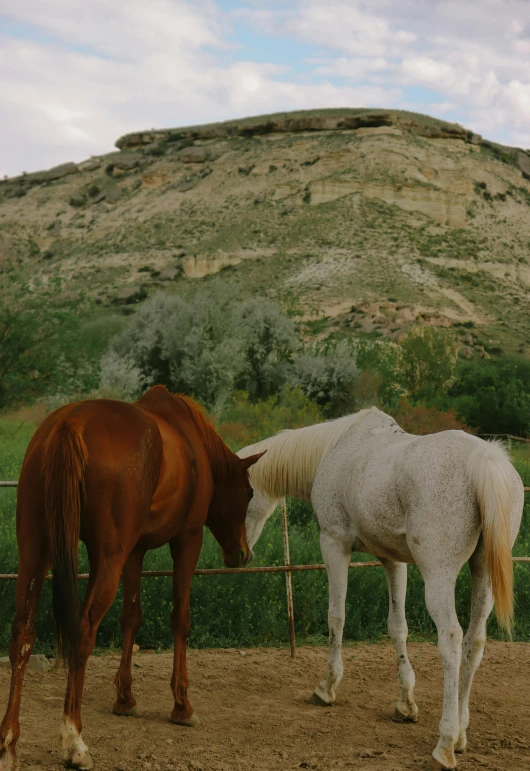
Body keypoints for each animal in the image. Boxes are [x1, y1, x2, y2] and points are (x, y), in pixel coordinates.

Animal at [0, 390, 262, 768]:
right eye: (249, 493)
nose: (242, 554)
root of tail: (72, 422)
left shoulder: (134, 552)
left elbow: (131, 617)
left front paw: (124, 698)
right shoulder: (188, 540)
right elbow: (180, 619)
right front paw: (182, 705)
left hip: (36, 550)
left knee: (22, 633)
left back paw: (8, 745)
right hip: (107, 558)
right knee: (83, 630)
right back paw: (73, 740)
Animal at [237, 408, 520, 768]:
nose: (239, 556)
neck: (334, 449)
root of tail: (484, 459)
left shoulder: (334, 544)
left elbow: (336, 616)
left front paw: (326, 688)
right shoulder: (392, 560)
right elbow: (398, 627)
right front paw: (405, 704)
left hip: (439, 576)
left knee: (452, 640)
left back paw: (445, 743)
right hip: (483, 573)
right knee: (475, 641)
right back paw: (460, 737)